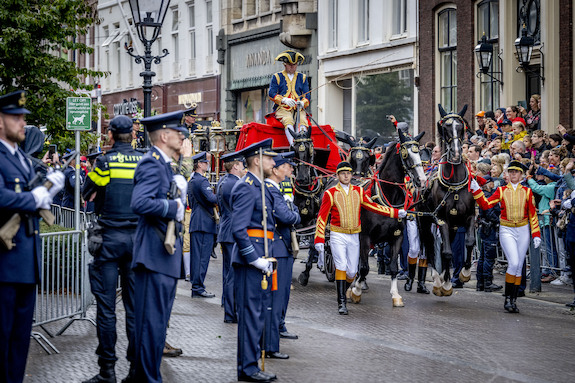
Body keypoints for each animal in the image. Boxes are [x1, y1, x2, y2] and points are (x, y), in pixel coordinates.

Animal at [418, 105, 476, 296]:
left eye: (461, 126)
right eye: (445, 128)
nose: (457, 153)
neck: (454, 185)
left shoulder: (470, 216)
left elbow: (469, 242)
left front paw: (464, 274)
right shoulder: (442, 219)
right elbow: (448, 252)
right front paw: (446, 284)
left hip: (453, 226)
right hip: (424, 221)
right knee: (430, 247)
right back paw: (437, 280)